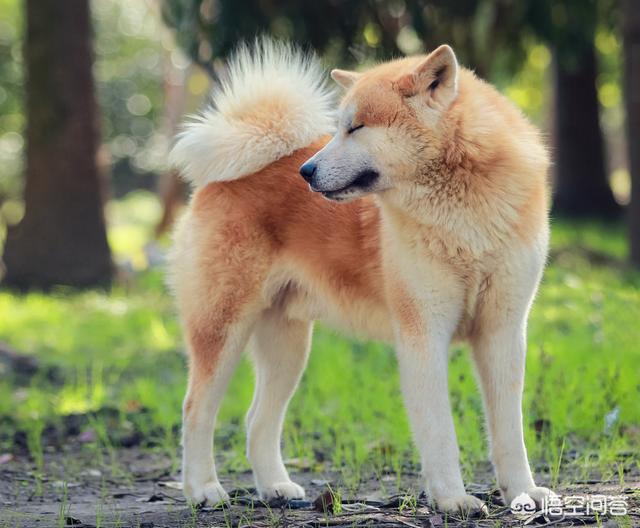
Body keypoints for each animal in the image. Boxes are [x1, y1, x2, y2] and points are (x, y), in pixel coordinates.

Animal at [169, 39, 552, 512]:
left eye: (356, 127)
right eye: (339, 128)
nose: (305, 172)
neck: (465, 215)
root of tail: (222, 177)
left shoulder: (503, 331)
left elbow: (510, 431)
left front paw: (522, 492)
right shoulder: (423, 334)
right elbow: (440, 432)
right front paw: (451, 499)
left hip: (287, 347)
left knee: (258, 419)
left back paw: (275, 487)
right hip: (223, 329)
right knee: (196, 411)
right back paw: (204, 489)